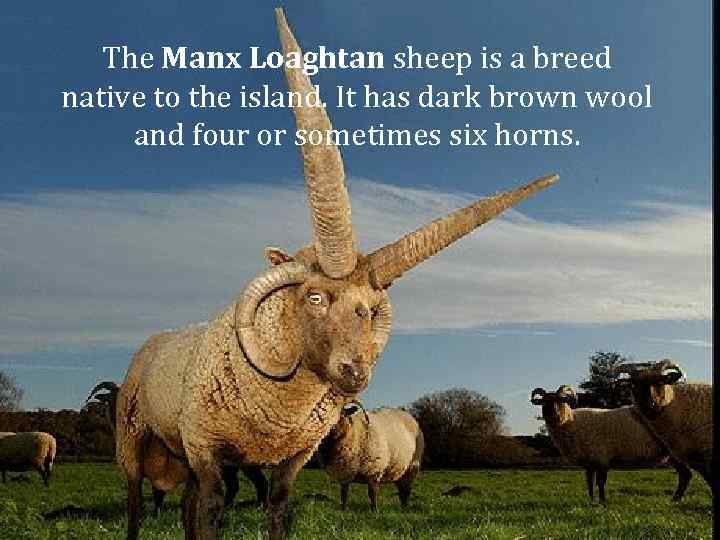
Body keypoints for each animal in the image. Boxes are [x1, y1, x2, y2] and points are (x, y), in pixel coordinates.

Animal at [87, 381, 267, 515]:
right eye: (110, 399)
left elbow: (157, 492)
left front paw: (156, 515)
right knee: (236, 485)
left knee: (257, 482)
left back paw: (259, 507)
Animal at [115, 8, 557, 540]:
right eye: (315, 297)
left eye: (368, 309)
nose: (356, 373)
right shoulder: (206, 445)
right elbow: (213, 510)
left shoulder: (291, 456)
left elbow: (277, 508)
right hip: (134, 440)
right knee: (137, 501)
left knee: (181, 503)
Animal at [531, 385, 692, 504]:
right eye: (544, 401)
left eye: (560, 400)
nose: (551, 414)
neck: (572, 422)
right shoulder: (590, 462)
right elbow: (590, 483)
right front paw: (592, 502)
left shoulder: (602, 458)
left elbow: (600, 482)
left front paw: (602, 503)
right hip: (672, 455)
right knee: (685, 475)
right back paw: (674, 500)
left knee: (686, 474)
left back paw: (675, 500)